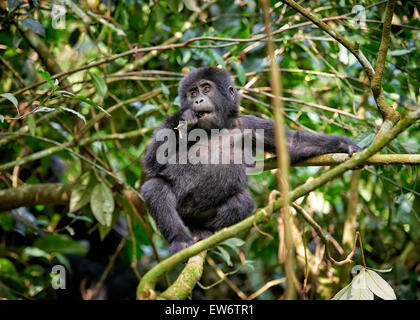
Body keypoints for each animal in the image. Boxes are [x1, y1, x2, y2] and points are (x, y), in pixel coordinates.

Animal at [141, 67, 360, 255]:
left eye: (206, 88)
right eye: (192, 93)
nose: (198, 100)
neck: (218, 127)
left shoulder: (249, 124)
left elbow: (291, 145)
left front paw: (343, 145)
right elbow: (152, 164)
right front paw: (182, 116)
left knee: (243, 201)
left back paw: (202, 230)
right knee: (155, 187)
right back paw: (181, 239)